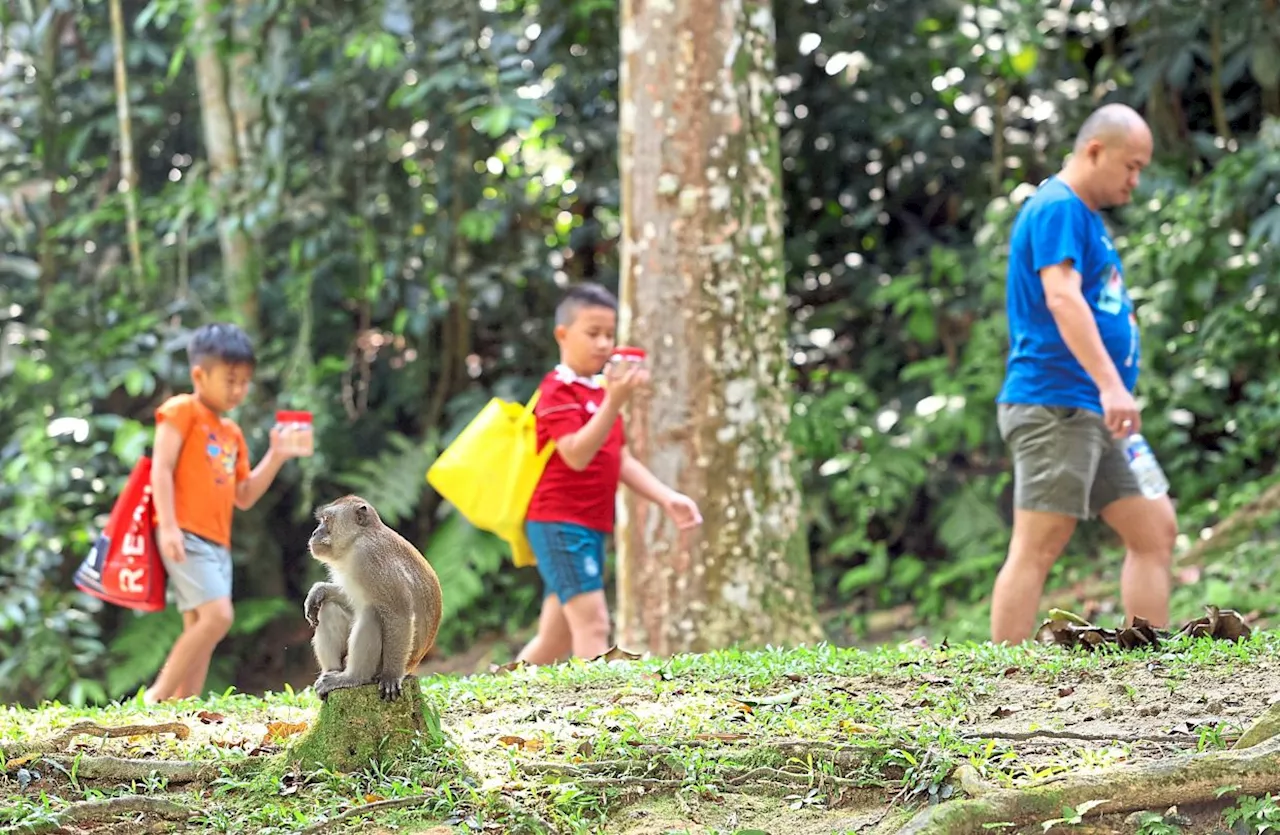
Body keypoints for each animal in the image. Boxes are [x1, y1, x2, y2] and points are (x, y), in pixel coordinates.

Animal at [300, 491, 445, 701]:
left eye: (327, 520)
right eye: (321, 520)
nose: (314, 533)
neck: (356, 540)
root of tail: (412, 665)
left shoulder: (370, 559)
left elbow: (399, 614)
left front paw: (391, 676)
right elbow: (349, 599)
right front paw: (319, 590)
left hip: (383, 665)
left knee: (371, 614)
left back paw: (353, 677)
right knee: (330, 608)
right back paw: (332, 673)